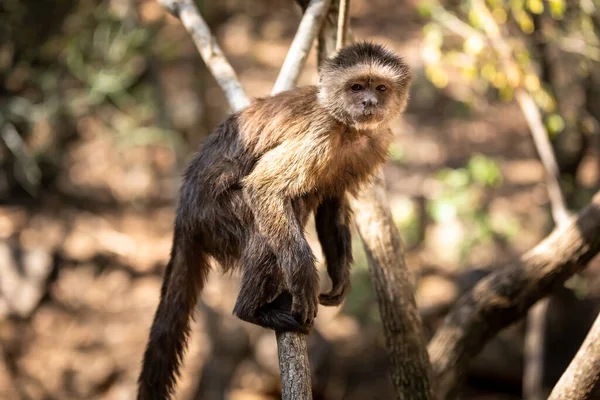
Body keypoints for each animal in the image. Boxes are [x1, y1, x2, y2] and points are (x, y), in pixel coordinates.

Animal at [137, 42, 412, 398]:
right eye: (356, 87)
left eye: (380, 88)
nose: (369, 103)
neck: (349, 129)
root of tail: (183, 210)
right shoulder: (321, 134)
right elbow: (264, 186)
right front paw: (304, 276)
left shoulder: (373, 145)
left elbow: (332, 203)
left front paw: (339, 279)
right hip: (212, 215)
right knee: (266, 224)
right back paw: (252, 311)